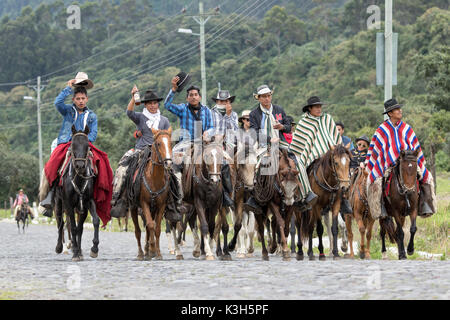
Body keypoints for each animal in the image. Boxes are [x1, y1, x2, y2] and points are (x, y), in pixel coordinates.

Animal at [54, 124, 99, 260]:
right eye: (73, 145)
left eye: (87, 145)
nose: (80, 165)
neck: (78, 178)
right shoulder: (69, 204)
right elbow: (73, 227)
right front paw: (75, 252)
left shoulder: (87, 203)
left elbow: (87, 224)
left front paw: (92, 249)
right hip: (59, 203)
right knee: (61, 223)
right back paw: (60, 247)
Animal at [130, 127, 178, 260]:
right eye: (158, 143)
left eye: (170, 143)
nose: (168, 163)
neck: (154, 179)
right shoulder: (144, 203)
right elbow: (150, 225)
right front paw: (151, 249)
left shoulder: (161, 206)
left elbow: (156, 228)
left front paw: (157, 252)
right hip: (134, 208)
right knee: (138, 231)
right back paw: (141, 253)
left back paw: (147, 251)